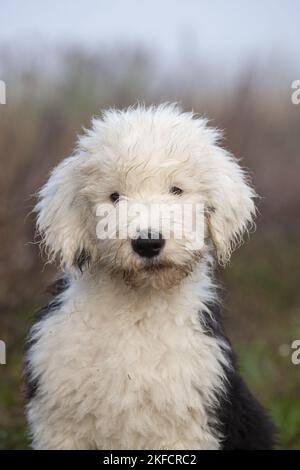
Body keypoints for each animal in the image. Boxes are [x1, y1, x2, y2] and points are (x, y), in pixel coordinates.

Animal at [24, 104, 276, 450]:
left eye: (177, 190)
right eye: (115, 196)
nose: (148, 243)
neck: (137, 312)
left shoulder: (185, 428)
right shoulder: (60, 424)